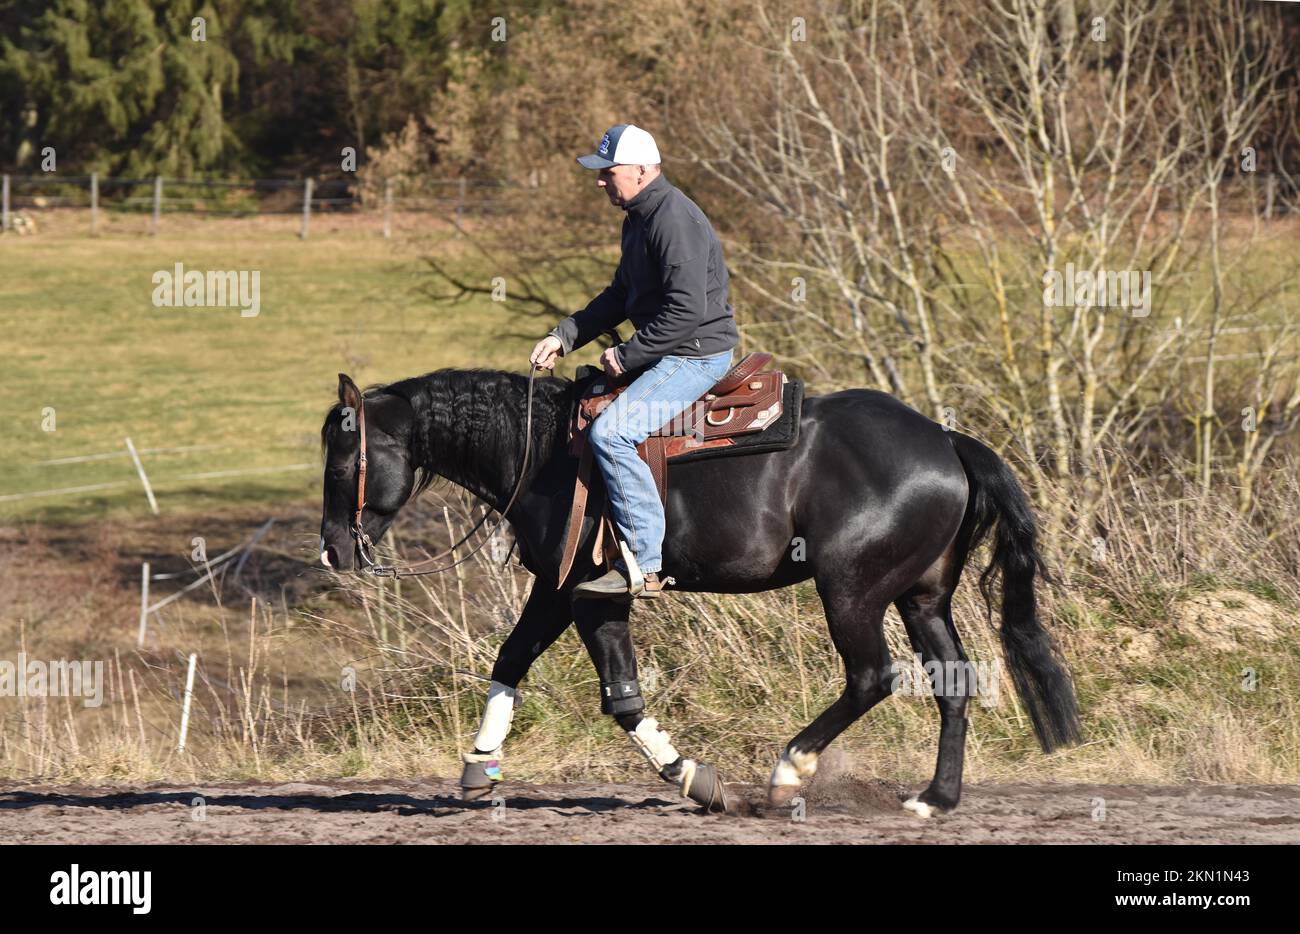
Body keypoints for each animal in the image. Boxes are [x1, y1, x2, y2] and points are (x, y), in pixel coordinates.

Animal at [317, 366, 1081, 814]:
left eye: (346, 458)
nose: (332, 550)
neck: (546, 450)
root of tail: (946, 440)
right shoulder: (574, 593)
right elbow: (553, 673)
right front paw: (482, 763)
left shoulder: (580, 592)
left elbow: (596, 689)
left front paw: (694, 778)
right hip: (920, 597)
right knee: (954, 682)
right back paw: (936, 798)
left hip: (852, 592)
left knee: (871, 677)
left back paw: (789, 772)